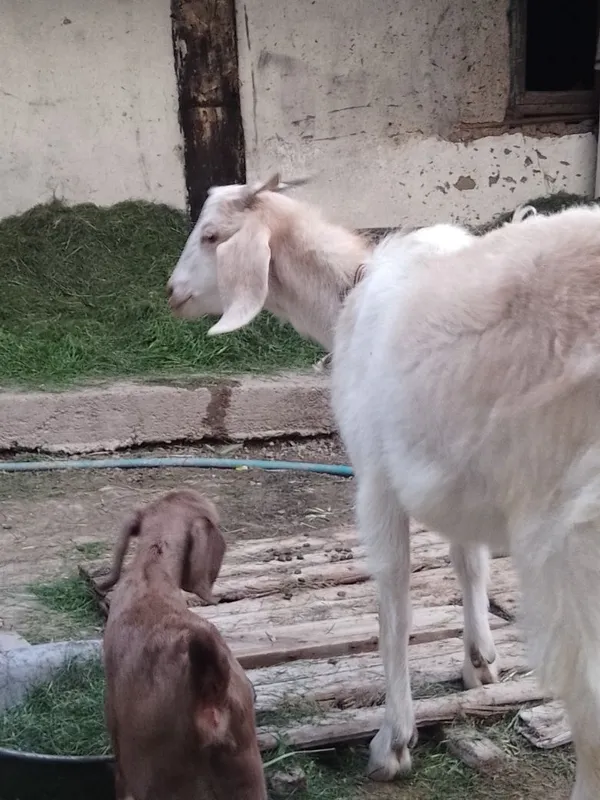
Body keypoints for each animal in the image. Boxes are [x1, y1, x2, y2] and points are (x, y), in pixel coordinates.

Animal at [167, 176, 600, 799]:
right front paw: (479, 662)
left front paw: (393, 741)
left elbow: (393, 605)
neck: (350, 294)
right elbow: (469, 561)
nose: (172, 291)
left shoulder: (376, 478)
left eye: (211, 235)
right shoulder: (454, 465)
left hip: (570, 541)